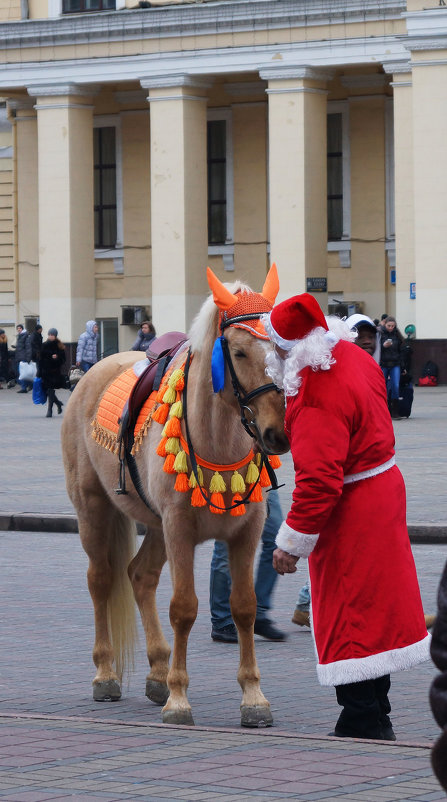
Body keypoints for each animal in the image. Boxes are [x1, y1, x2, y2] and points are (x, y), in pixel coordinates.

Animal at [61, 268, 288, 724]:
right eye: (238, 352)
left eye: (281, 348)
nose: (276, 434)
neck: (218, 441)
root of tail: (92, 372)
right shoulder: (180, 528)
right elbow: (184, 607)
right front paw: (179, 700)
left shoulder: (247, 532)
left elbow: (245, 607)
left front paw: (253, 698)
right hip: (94, 511)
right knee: (101, 579)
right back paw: (106, 675)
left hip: (155, 526)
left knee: (140, 576)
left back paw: (157, 673)